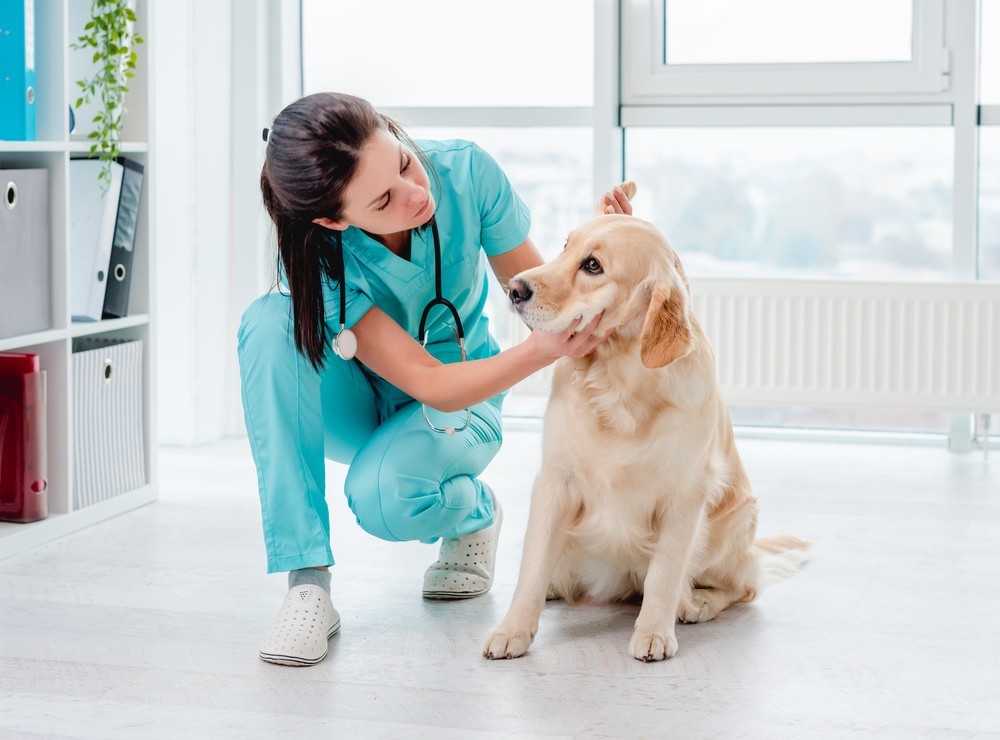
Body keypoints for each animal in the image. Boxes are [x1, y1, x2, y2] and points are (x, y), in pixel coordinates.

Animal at [486, 182, 812, 660]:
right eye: (565, 247)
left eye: (593, 266)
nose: (515, 288)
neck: (618, 382)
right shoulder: (555, 480)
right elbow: (533, 563)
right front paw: (513, 629)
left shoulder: (685, 494)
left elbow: (665, 571)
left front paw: (655, 631)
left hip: (735, 522)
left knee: (746, 586)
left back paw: (695, 603)